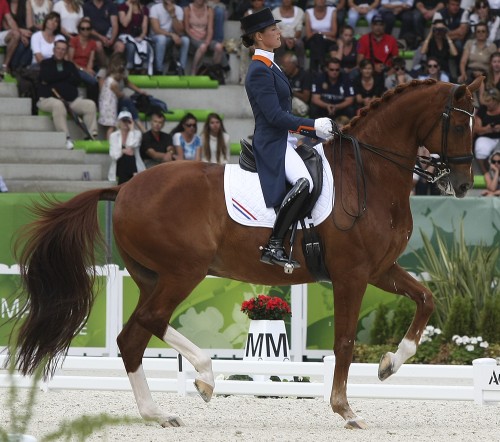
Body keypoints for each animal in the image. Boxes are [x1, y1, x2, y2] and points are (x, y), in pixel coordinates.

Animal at [10, 77, 480, 426]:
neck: (369, 175)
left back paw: (157, 412)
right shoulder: (352, 274)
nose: (462, 185)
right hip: (184, 272)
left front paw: (389, 364)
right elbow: (345, 341)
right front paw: (345, 410)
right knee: (150, 321)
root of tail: (123, 188)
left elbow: (426, 299)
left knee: (133, 337)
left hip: (151, 276)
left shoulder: (380, 269)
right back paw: (204, 376)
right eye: (459, 126)